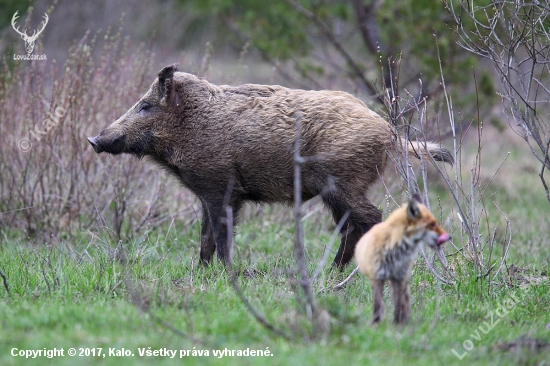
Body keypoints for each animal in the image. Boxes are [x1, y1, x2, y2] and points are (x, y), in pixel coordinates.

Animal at [356, 196, 450, 324]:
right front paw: (376, 323)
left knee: (404, 302)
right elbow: (378, 304)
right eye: (432, 224)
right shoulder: (377, 277)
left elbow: (398, 304)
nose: (449, 237)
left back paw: (405, 320)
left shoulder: (399, 278)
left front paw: (397, 323)